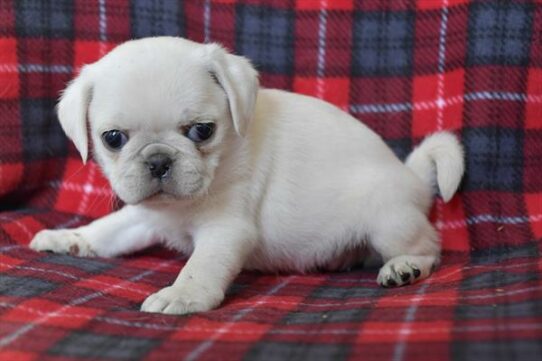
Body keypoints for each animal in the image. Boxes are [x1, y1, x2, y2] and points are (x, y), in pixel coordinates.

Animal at [29, 35, 466, 314]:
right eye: (113, 139)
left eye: (202, 131)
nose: (158, 160)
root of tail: (411, 176)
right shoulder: (143, 216)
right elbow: (108, 230)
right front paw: (70, 238)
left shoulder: (226, 229)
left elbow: (201, 265)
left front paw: (183, 295)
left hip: (387, 220)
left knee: (429, 245)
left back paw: (403, 267)